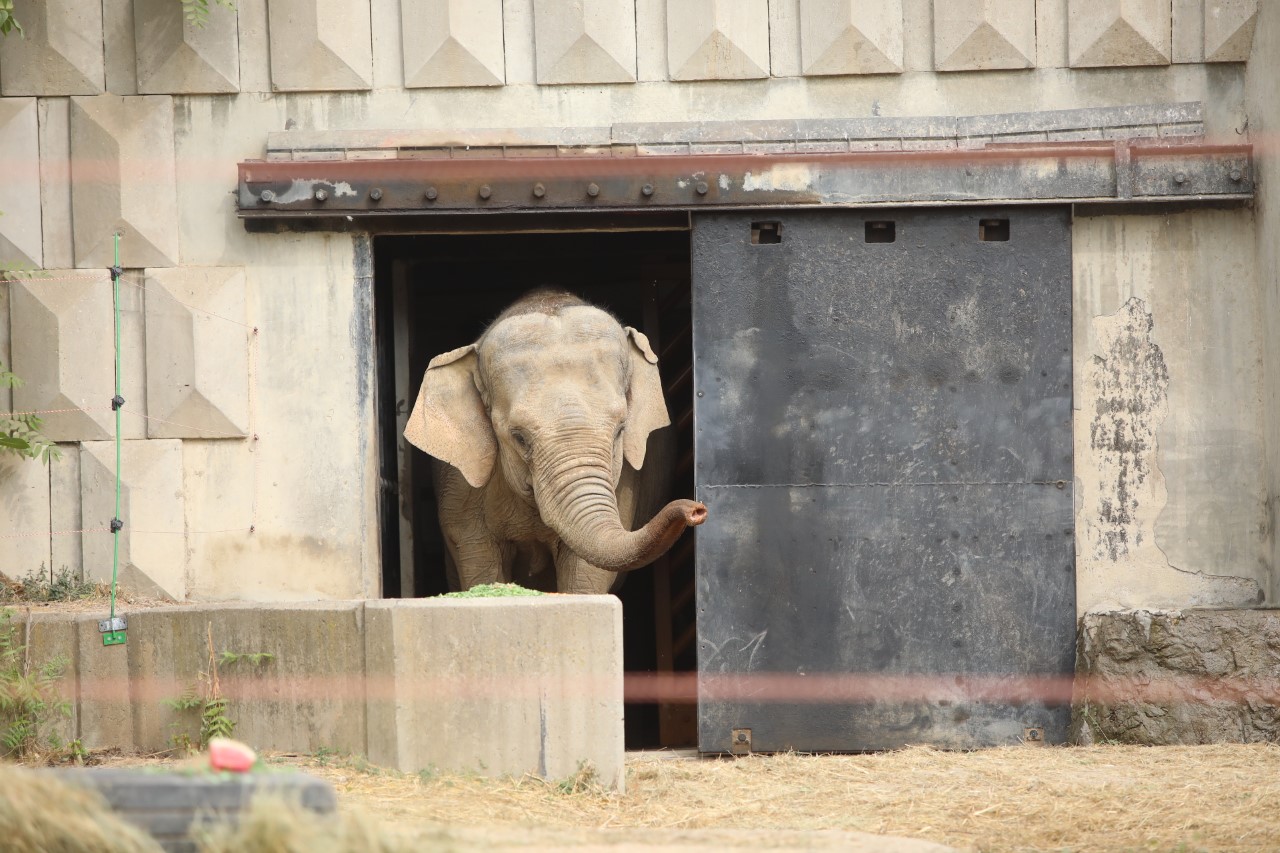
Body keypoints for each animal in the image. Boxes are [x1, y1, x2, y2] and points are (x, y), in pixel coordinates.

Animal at [401, 289, 711, 594]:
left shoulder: (624, 484)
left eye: (620, 430)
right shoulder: (460, 487)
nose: (697, 510)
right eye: (519, 437)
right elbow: (480, 560)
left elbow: (585, 575)